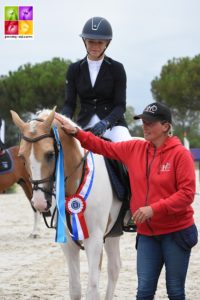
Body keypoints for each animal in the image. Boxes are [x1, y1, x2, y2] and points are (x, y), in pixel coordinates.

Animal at [11, 108, 123, 300]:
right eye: (21, 157)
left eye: (50, 154)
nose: (39, 203)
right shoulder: (68, 243)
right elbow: (75, 289)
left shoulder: (94, 240)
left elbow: (92, 290)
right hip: (113, 232)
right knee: (114, 268)